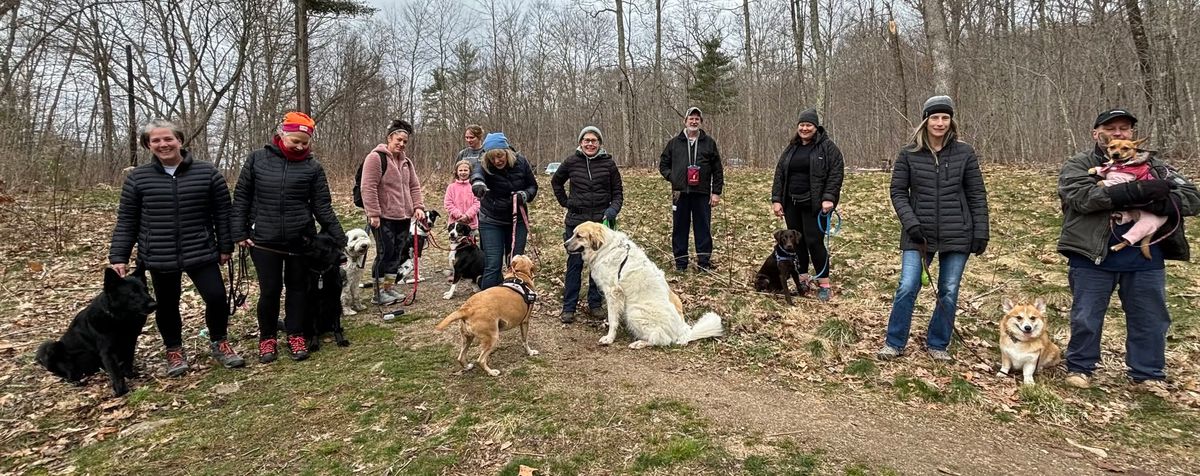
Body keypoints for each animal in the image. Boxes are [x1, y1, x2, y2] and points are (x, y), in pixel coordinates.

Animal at [36, 267, 157, 398]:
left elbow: (128, 359)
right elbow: (115, 372)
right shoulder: (107, 351)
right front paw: (121, 390)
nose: (154, 305)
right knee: (66, 372)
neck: (120, 320)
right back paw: (76, 380)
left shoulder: (130, 341)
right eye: (133, 293)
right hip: (54, 346)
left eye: (146, 290)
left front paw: (129, 374)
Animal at [561, 220, 720, 347]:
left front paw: (609, 338)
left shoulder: (613, 293)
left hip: (634, 311)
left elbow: (613, 319)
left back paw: (640, 343)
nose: (564, 244)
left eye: (579, 236)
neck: (606, 248)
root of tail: (683, 331)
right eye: (573, 233)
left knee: (661, 339)